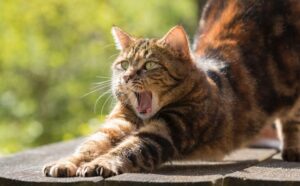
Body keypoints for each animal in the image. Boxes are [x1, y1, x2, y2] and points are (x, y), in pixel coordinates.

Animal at [43, 0, 298, 177]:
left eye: (149, 65)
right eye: (123, 64)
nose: (126, 77)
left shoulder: (168, 130)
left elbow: (128, 148)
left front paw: (99, 163)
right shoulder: (117, 124)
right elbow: (90, 145)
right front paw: (65, 163)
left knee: (291, 118)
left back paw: (292, 149)